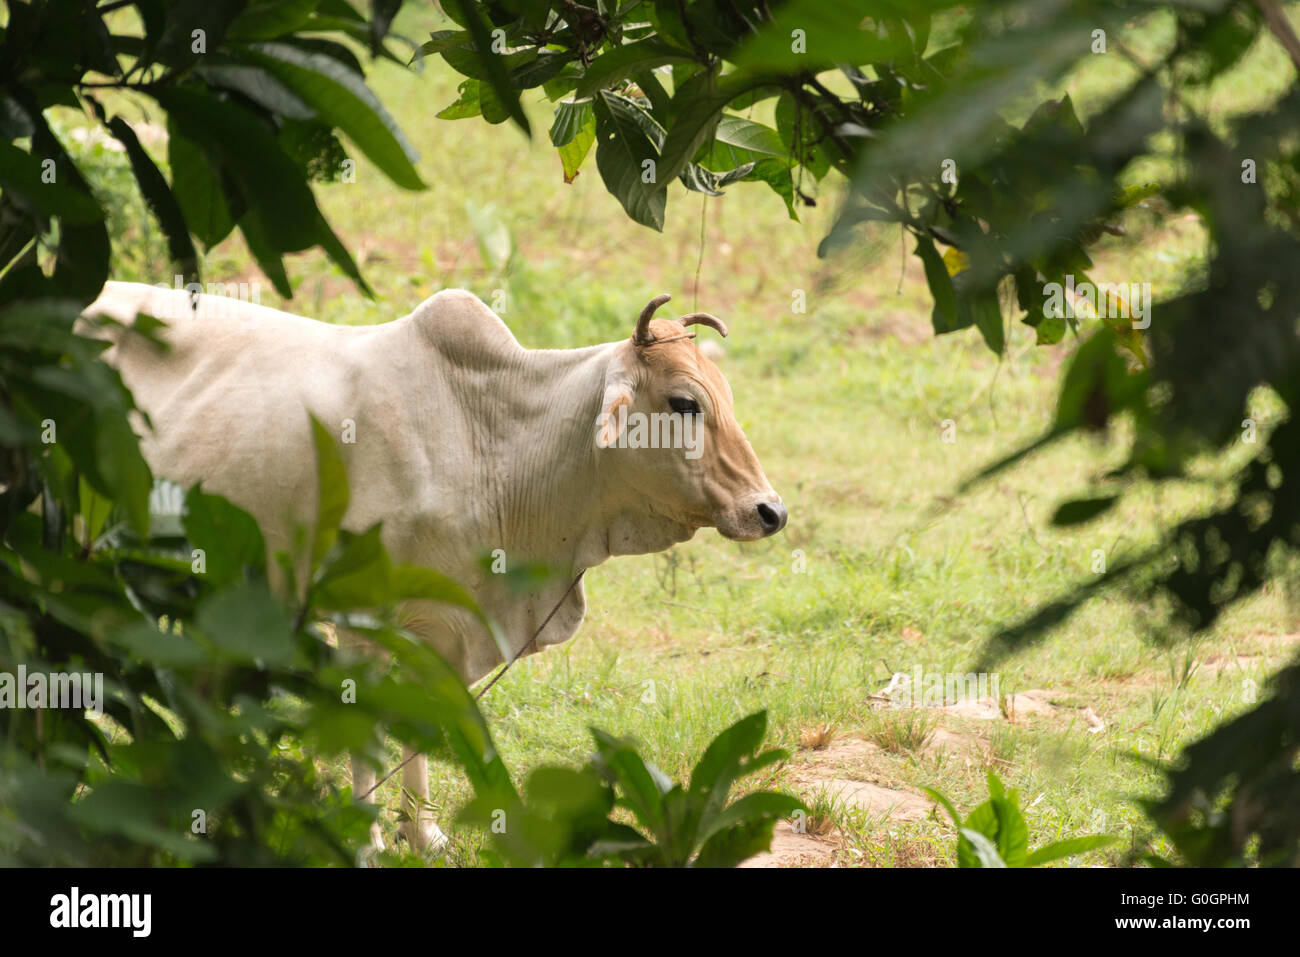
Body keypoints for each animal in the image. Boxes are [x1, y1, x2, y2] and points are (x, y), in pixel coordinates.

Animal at [86, 280, 790, 858]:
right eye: (684, 403)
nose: (770, 511)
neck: (495, 442)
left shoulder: (447, 626)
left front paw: (423, 834)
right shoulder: (361, 619)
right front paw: (364, 839)